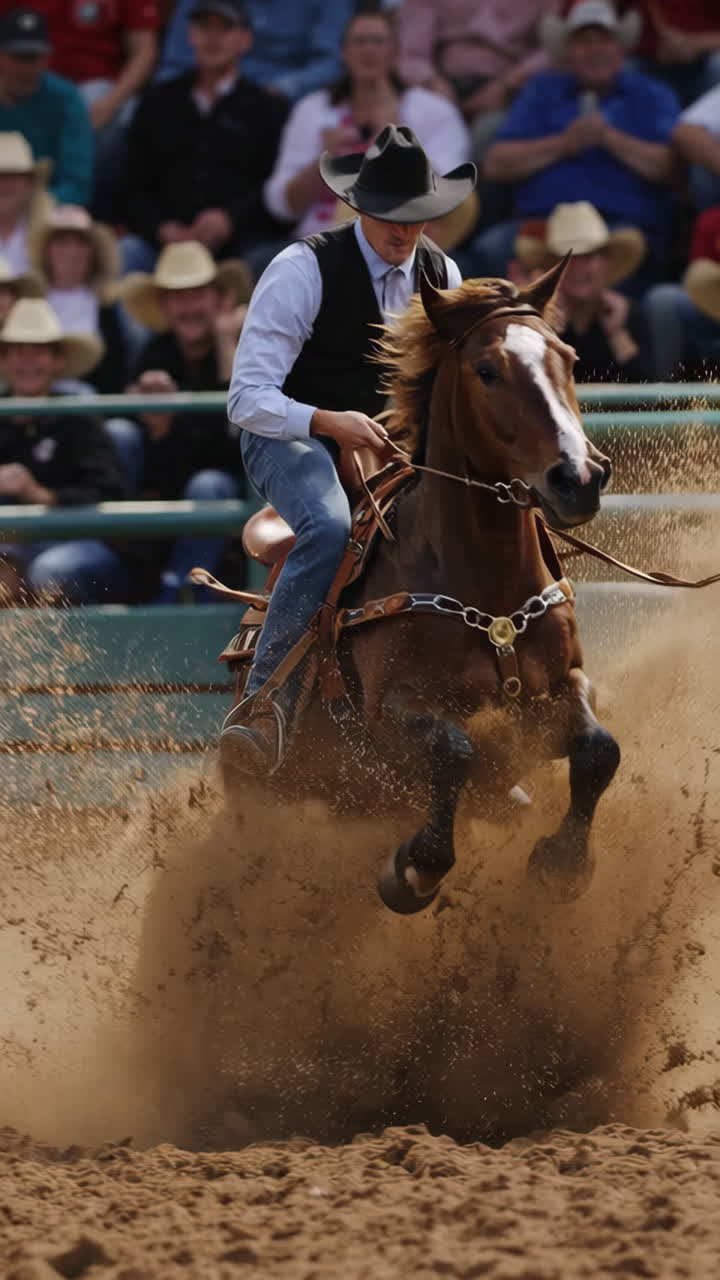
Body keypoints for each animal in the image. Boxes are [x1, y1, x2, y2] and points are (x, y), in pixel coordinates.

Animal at [222, 254, 620, 914]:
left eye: (567, 357)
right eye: (487, 370)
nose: (579, 478)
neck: (490, 594)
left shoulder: (561, 686)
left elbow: (599, 750)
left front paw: (562, 862)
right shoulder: (389, 713)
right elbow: (451, 751)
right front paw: (412, 872)